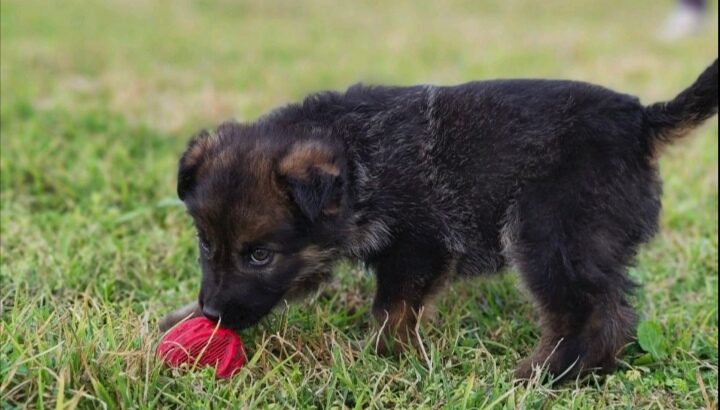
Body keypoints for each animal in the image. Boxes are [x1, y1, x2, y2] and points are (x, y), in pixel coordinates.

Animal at [160, 59, 716, 380]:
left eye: (259, 254)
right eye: (206, 245)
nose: (213, 314)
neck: (359, 158)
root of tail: (641, 120)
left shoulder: (418, 246)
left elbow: (390, 309)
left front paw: (379, 358)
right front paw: (180, 317)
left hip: (548, 232)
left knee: (596, 316)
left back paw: (543, 375)